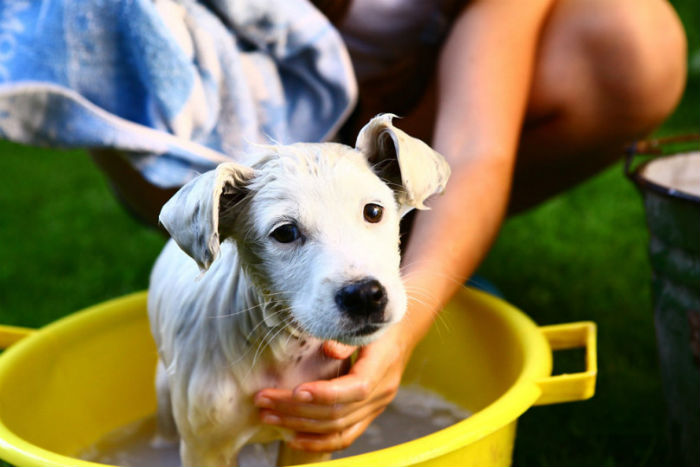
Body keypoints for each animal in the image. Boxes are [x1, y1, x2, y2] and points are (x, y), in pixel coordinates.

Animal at [150, 114, 452, 467]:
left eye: (374, 212)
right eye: (285, 233)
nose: (365, 295)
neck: (282, 351)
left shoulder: (313, 437)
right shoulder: (205, 447)